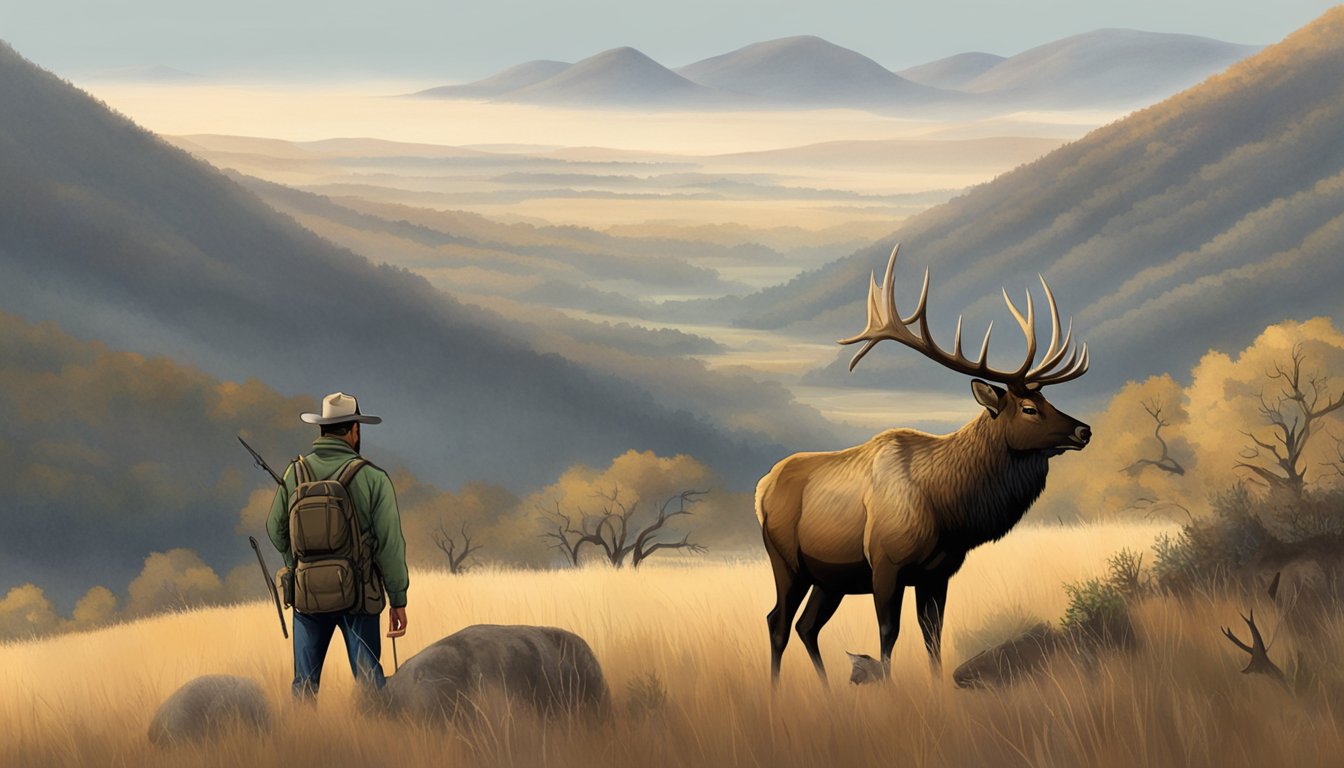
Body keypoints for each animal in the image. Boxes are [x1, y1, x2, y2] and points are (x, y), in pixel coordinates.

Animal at [758, 243, 1091, 683]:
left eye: (1048, 400)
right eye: (1030, 408)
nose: (1084, 430)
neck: (948, 510)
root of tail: (762, 487)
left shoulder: (938, 572)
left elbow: (932, 635)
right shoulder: (886, 564)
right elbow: (888, 635)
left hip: (830, 577)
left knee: (806, 625)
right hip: (786, 560)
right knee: (777, 622)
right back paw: (775, 690)